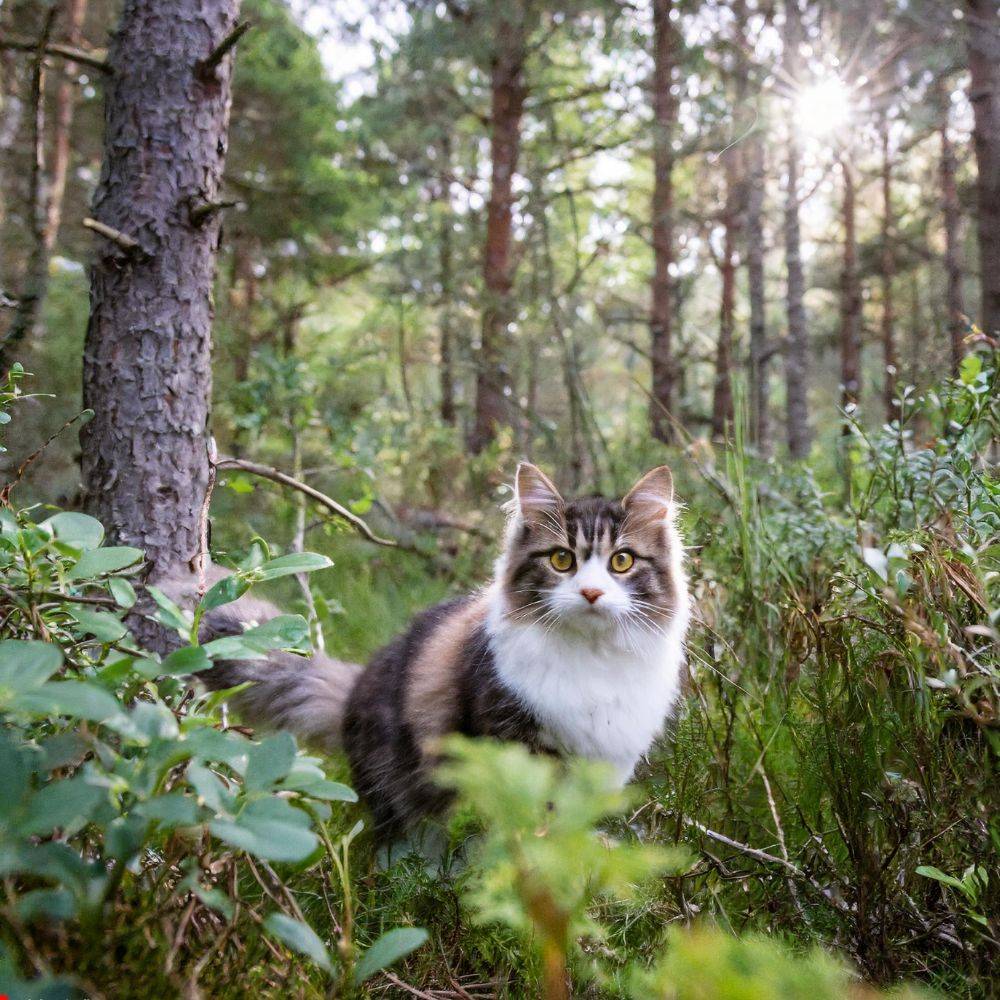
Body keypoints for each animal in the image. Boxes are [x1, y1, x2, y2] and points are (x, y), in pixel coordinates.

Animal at [188, 464, 688, 840]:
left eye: (621, 561)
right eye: (561, 560)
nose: (590, 593)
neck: (592, 657)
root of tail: (353, 689)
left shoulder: (605, 760)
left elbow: (572, 823)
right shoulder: (510, 737)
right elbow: (531, 816)